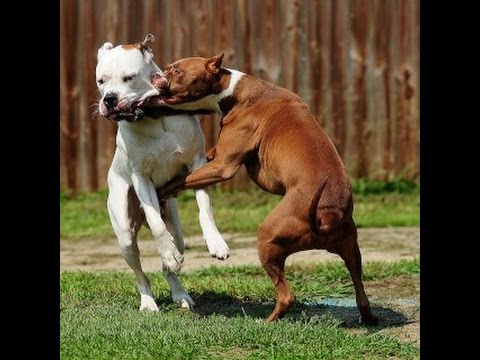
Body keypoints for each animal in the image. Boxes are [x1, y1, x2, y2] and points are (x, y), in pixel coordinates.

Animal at [94, 33, 230, 310]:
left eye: (129, 77)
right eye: (101, 81)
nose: (109, 99)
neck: (152, 116)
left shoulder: (197, 163)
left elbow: (205, 208)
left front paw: (216, 242)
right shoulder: (141, 178)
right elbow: (156, 223)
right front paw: (166, 251)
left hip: (177, 231)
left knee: (171, 266)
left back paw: (180, 294)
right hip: (125, 235)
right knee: (140, 273)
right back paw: (148, 301)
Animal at [150, 54, 378, 326]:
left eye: (176, 70)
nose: (154, 76)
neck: (232, 90)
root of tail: (326, 218)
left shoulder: (222, 166)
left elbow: (181, 180)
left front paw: (160, 190)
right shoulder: (215, 157)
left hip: (267, 239)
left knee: (286, 295)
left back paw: (267, 320)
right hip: (351, 250)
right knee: (360, 289)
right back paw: (368, 316)